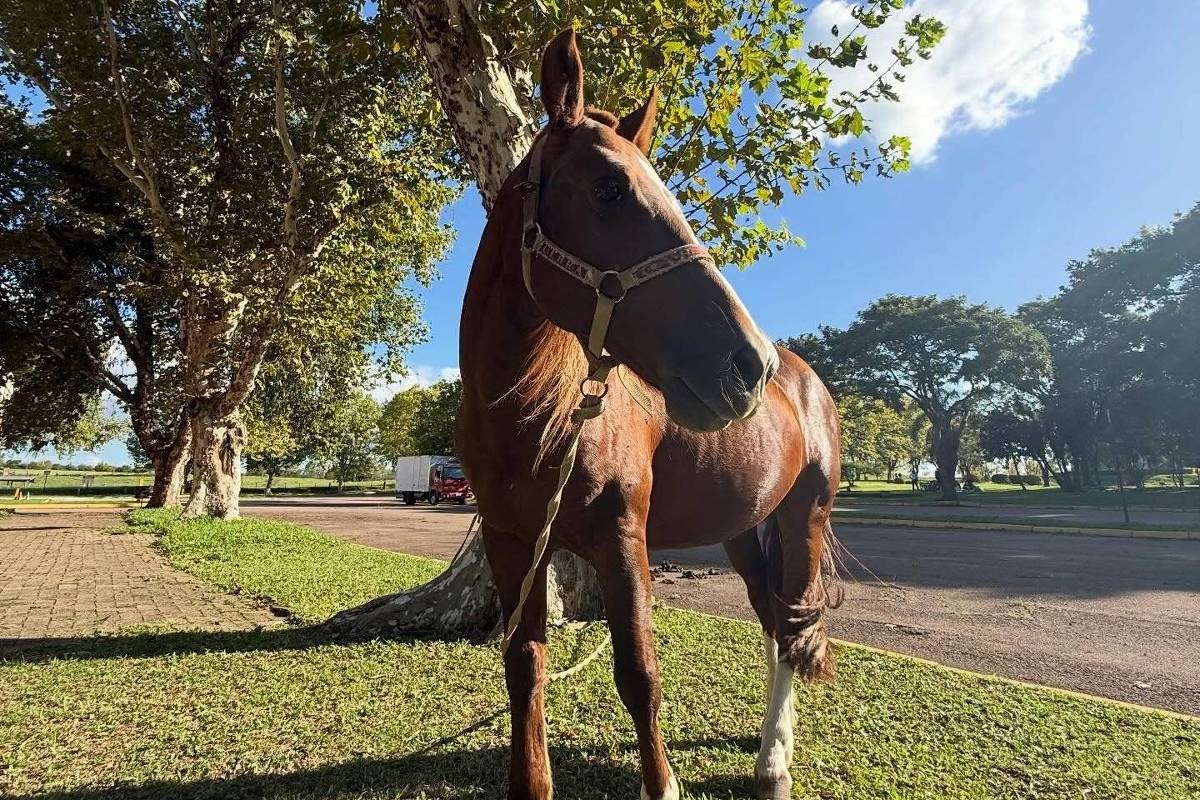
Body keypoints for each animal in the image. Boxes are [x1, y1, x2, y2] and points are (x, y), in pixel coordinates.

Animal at [455, 29, 841, 800]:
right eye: (609, 188)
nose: (747, 364)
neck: (534, 421)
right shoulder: (515, 543)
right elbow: (525, 665)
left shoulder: (622, 538)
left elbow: (638, 674)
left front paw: (662, 782)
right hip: (742, 528)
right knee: (769, 618)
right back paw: (765, 743)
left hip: (804, 517)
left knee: (792, 625)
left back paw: (774, 763)